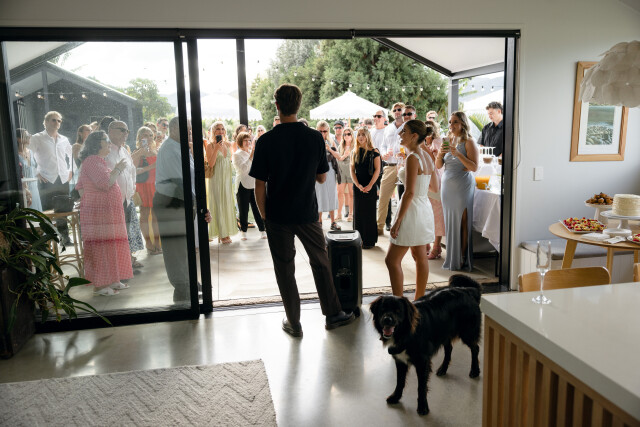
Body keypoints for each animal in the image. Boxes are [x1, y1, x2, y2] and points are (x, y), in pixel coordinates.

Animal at [369, 274, 482, 415]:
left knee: (475, 348)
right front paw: (396, 397)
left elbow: (421, 387)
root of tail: (468, 290)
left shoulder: (422, 362)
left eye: (398, 311)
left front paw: (423, 406)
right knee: (449, 349)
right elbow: (400, 381)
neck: (406, 333)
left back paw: (475, 370)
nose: (387, 320)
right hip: (443, 332)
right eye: (383, 309)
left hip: (467, 332)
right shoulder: (400, 360)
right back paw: (443, 369)